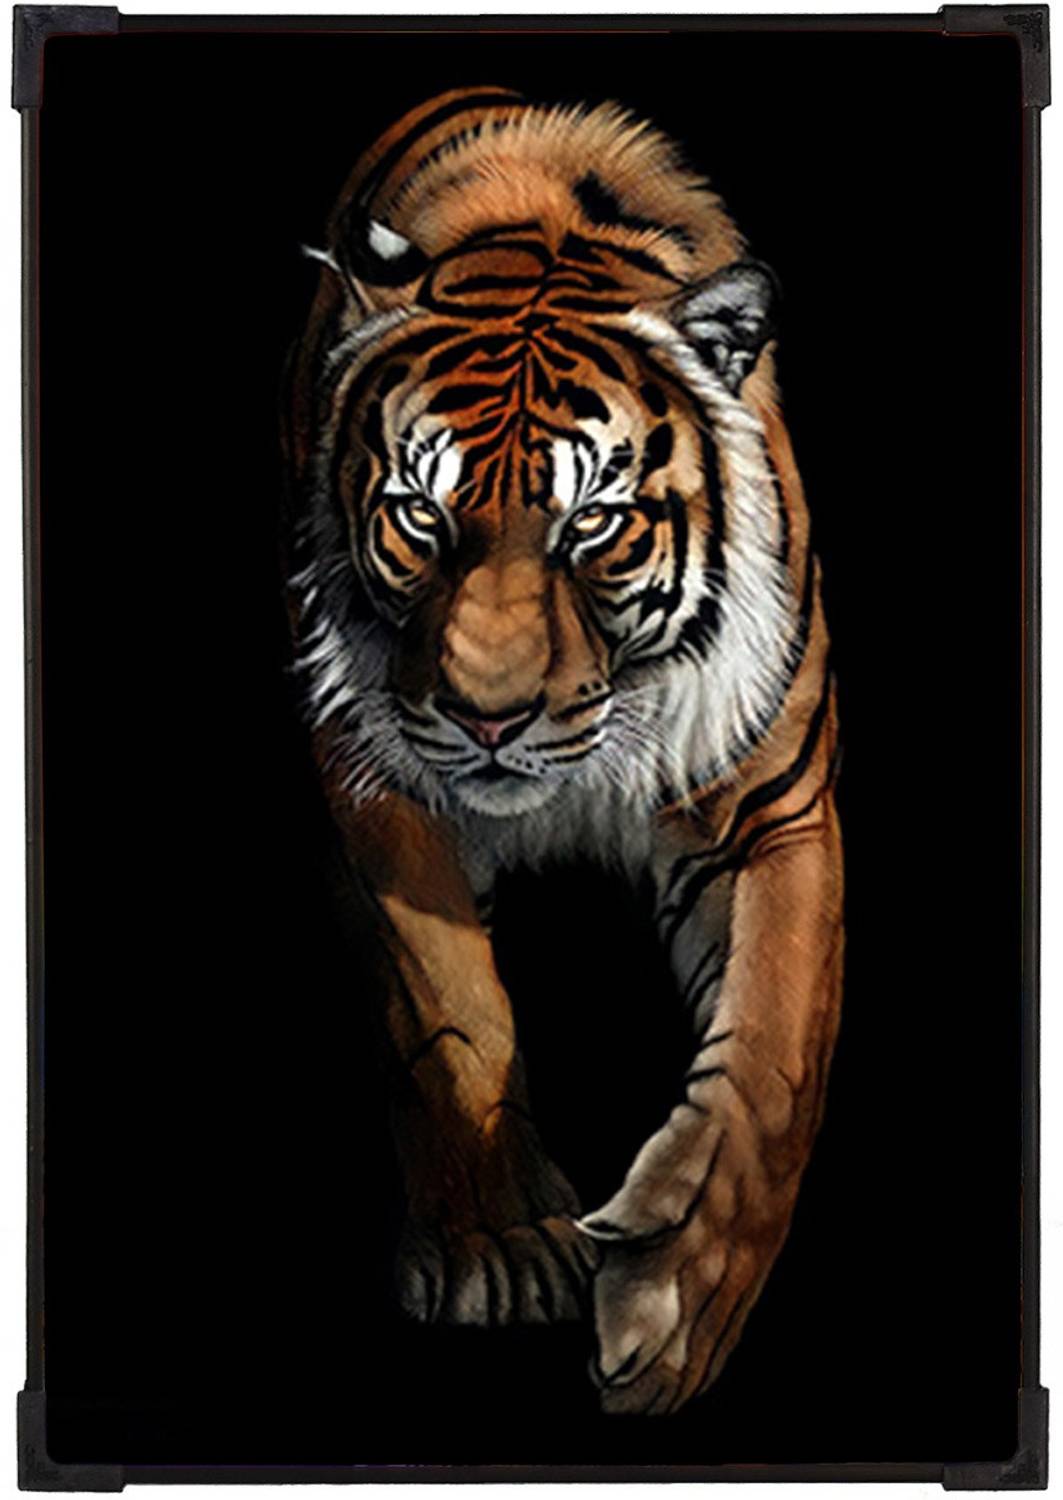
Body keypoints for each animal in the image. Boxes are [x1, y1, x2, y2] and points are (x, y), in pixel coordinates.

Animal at [284, 86, 844, 1417]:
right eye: (419, 514)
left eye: (590, 522)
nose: (486, 717)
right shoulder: (372, 777)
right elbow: (448, 1012)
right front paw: (498, 1251)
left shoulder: (775, 803)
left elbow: (772, 1049)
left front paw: (678, 1300)